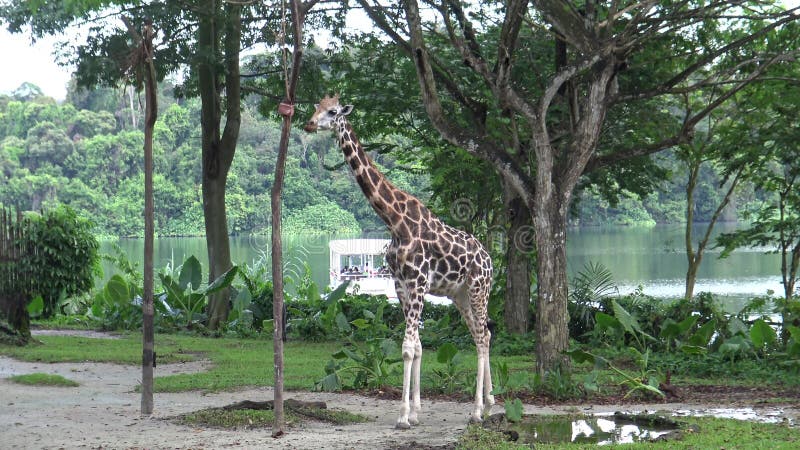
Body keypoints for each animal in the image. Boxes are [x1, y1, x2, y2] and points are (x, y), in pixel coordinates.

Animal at [304, 94, 494, 426]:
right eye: (316, 107)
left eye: (332, 111)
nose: (309, 124)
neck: (394, 221)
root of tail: (490, 260)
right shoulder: (401, 285)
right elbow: (416, 347)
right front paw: (415, 412)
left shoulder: (417, 283)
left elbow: (407, 348)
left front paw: (404, 416)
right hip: (460, 296)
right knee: (482, 334)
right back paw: (491, 403)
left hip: (478, 289)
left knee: (483, 337)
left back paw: (477, 411)